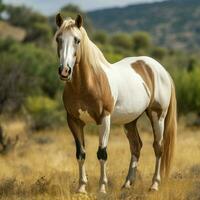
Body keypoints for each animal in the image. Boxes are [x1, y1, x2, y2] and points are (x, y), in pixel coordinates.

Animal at [53, 13, 177, 194]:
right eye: (58, 39)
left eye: (77, 40)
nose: (64, 71)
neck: (89, 82)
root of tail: (160, 69)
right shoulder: (74, 121)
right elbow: (81, 153)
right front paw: (81, 188)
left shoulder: (104, 119)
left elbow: (102, 153)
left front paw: (102, 188)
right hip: (130, 121)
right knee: (136, 146)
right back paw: (127, 184)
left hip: (157, 116)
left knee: (158, 147)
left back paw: (154, 185)